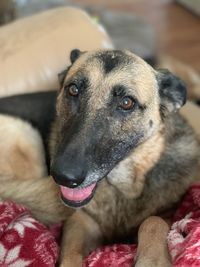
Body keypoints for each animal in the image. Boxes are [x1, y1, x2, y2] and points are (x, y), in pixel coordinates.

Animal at [0, 49, 199, 266]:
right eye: (73, 90)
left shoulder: (167, 214)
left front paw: (152, 260)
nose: (63, 177)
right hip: (25, 136)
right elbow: (71, 253)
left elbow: (153, 221)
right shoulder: (82, 220)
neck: (123, 188)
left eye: (126, 102)